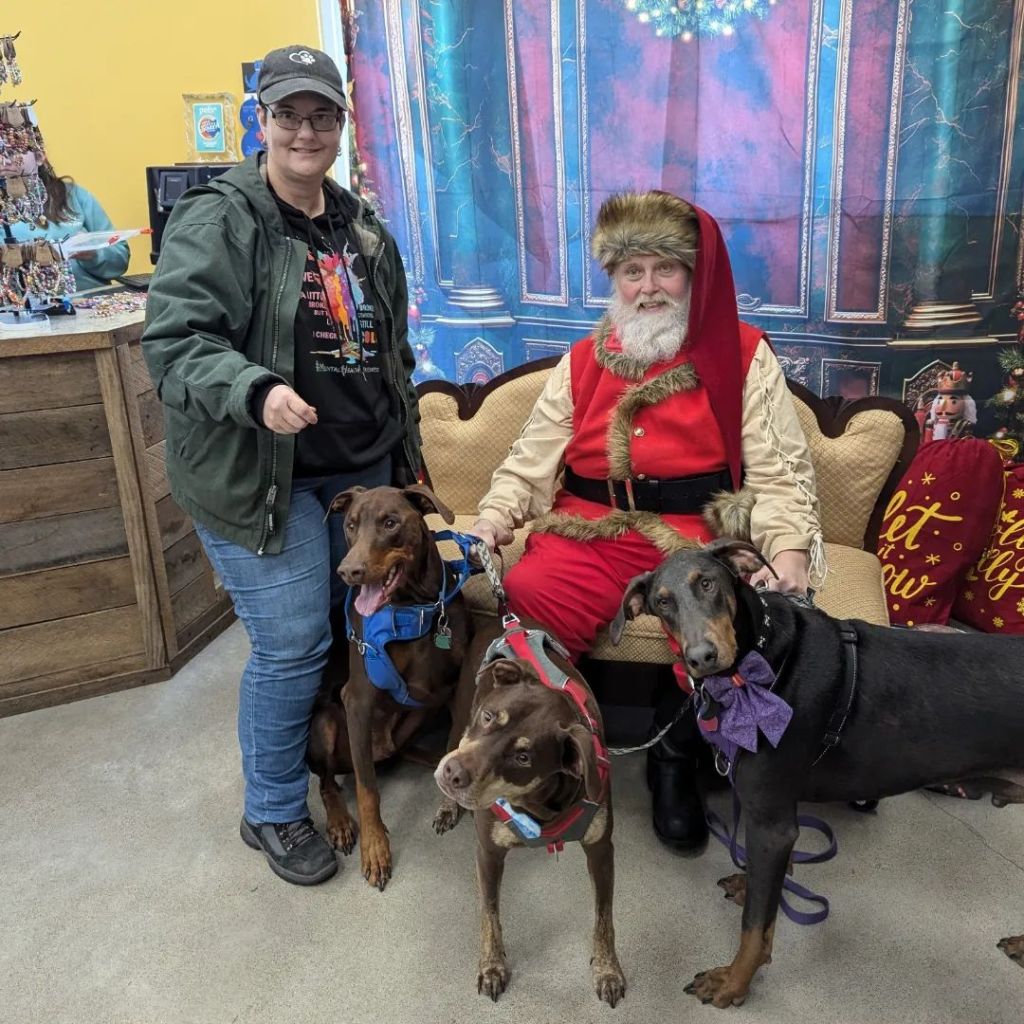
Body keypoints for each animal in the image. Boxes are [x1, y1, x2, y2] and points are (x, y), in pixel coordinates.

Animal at [307, 484, 476, 890]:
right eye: (351, 525)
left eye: (390, 523)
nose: (348, 571)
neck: (415, 610)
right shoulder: (357, 701)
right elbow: (367, 789)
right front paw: (376, 849)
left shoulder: (455, 688)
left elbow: (454, 741)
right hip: (325, 724)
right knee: (328, 782)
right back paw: (339, 823)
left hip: (417, 716)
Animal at [433, 623, 627, 1007]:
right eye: (489, 717)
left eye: (524, 758)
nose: (452, 774)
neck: (537, 802)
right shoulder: (488, 851)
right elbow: (490, 913)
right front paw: (492, 966)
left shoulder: (601, 849)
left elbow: (604, 916)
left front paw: (607, 969)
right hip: (460, 713)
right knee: (451, 737)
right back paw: (447, 807)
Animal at [610, 538, 1024, 1008]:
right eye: (663, 603)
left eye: (708, 582)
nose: (702, 658)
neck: (765, 663)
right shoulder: (775, 818)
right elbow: (767, 892)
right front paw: (751, 885)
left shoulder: (770, 821)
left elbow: (754, 927)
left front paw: (733, 984)